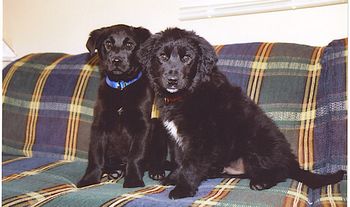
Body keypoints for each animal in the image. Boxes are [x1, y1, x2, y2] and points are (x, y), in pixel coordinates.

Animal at [77, 24, 167, 189]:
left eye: (129, 45)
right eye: (108, 44)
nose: (116, 60)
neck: (121, 86)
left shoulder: (142, 125)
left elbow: (136, 156)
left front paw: (133, 180)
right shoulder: (99, 125)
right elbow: (96, 156)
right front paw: (89, 180)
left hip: (158, 128)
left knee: (156, 158)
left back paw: (156, 170)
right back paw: (114, 171)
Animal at [138, 27, 346, 199]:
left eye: (187, 58)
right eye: (162, 57)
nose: (172, 80)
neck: (187, 94)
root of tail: (291, 160)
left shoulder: (202, 138)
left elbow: (190, 165)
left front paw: (182, 189)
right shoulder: (176, 138)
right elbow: (179, 161)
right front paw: (173, 178)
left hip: (256, 140)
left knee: (279, 171)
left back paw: (262, 181)